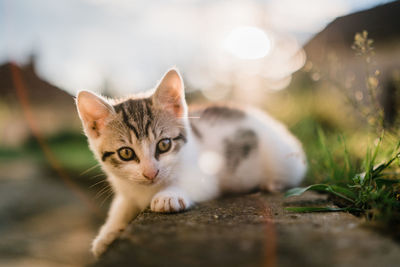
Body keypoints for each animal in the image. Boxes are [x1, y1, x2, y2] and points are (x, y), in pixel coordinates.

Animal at [75, 68, 306, 258]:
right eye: (125, 153)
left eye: (164, 144)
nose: (150, 173)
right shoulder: (126, 190)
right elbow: (120, 208)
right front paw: (107, 234)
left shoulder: (207, 175)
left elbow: (190, 184)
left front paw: (169, 195)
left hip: (285, 159)